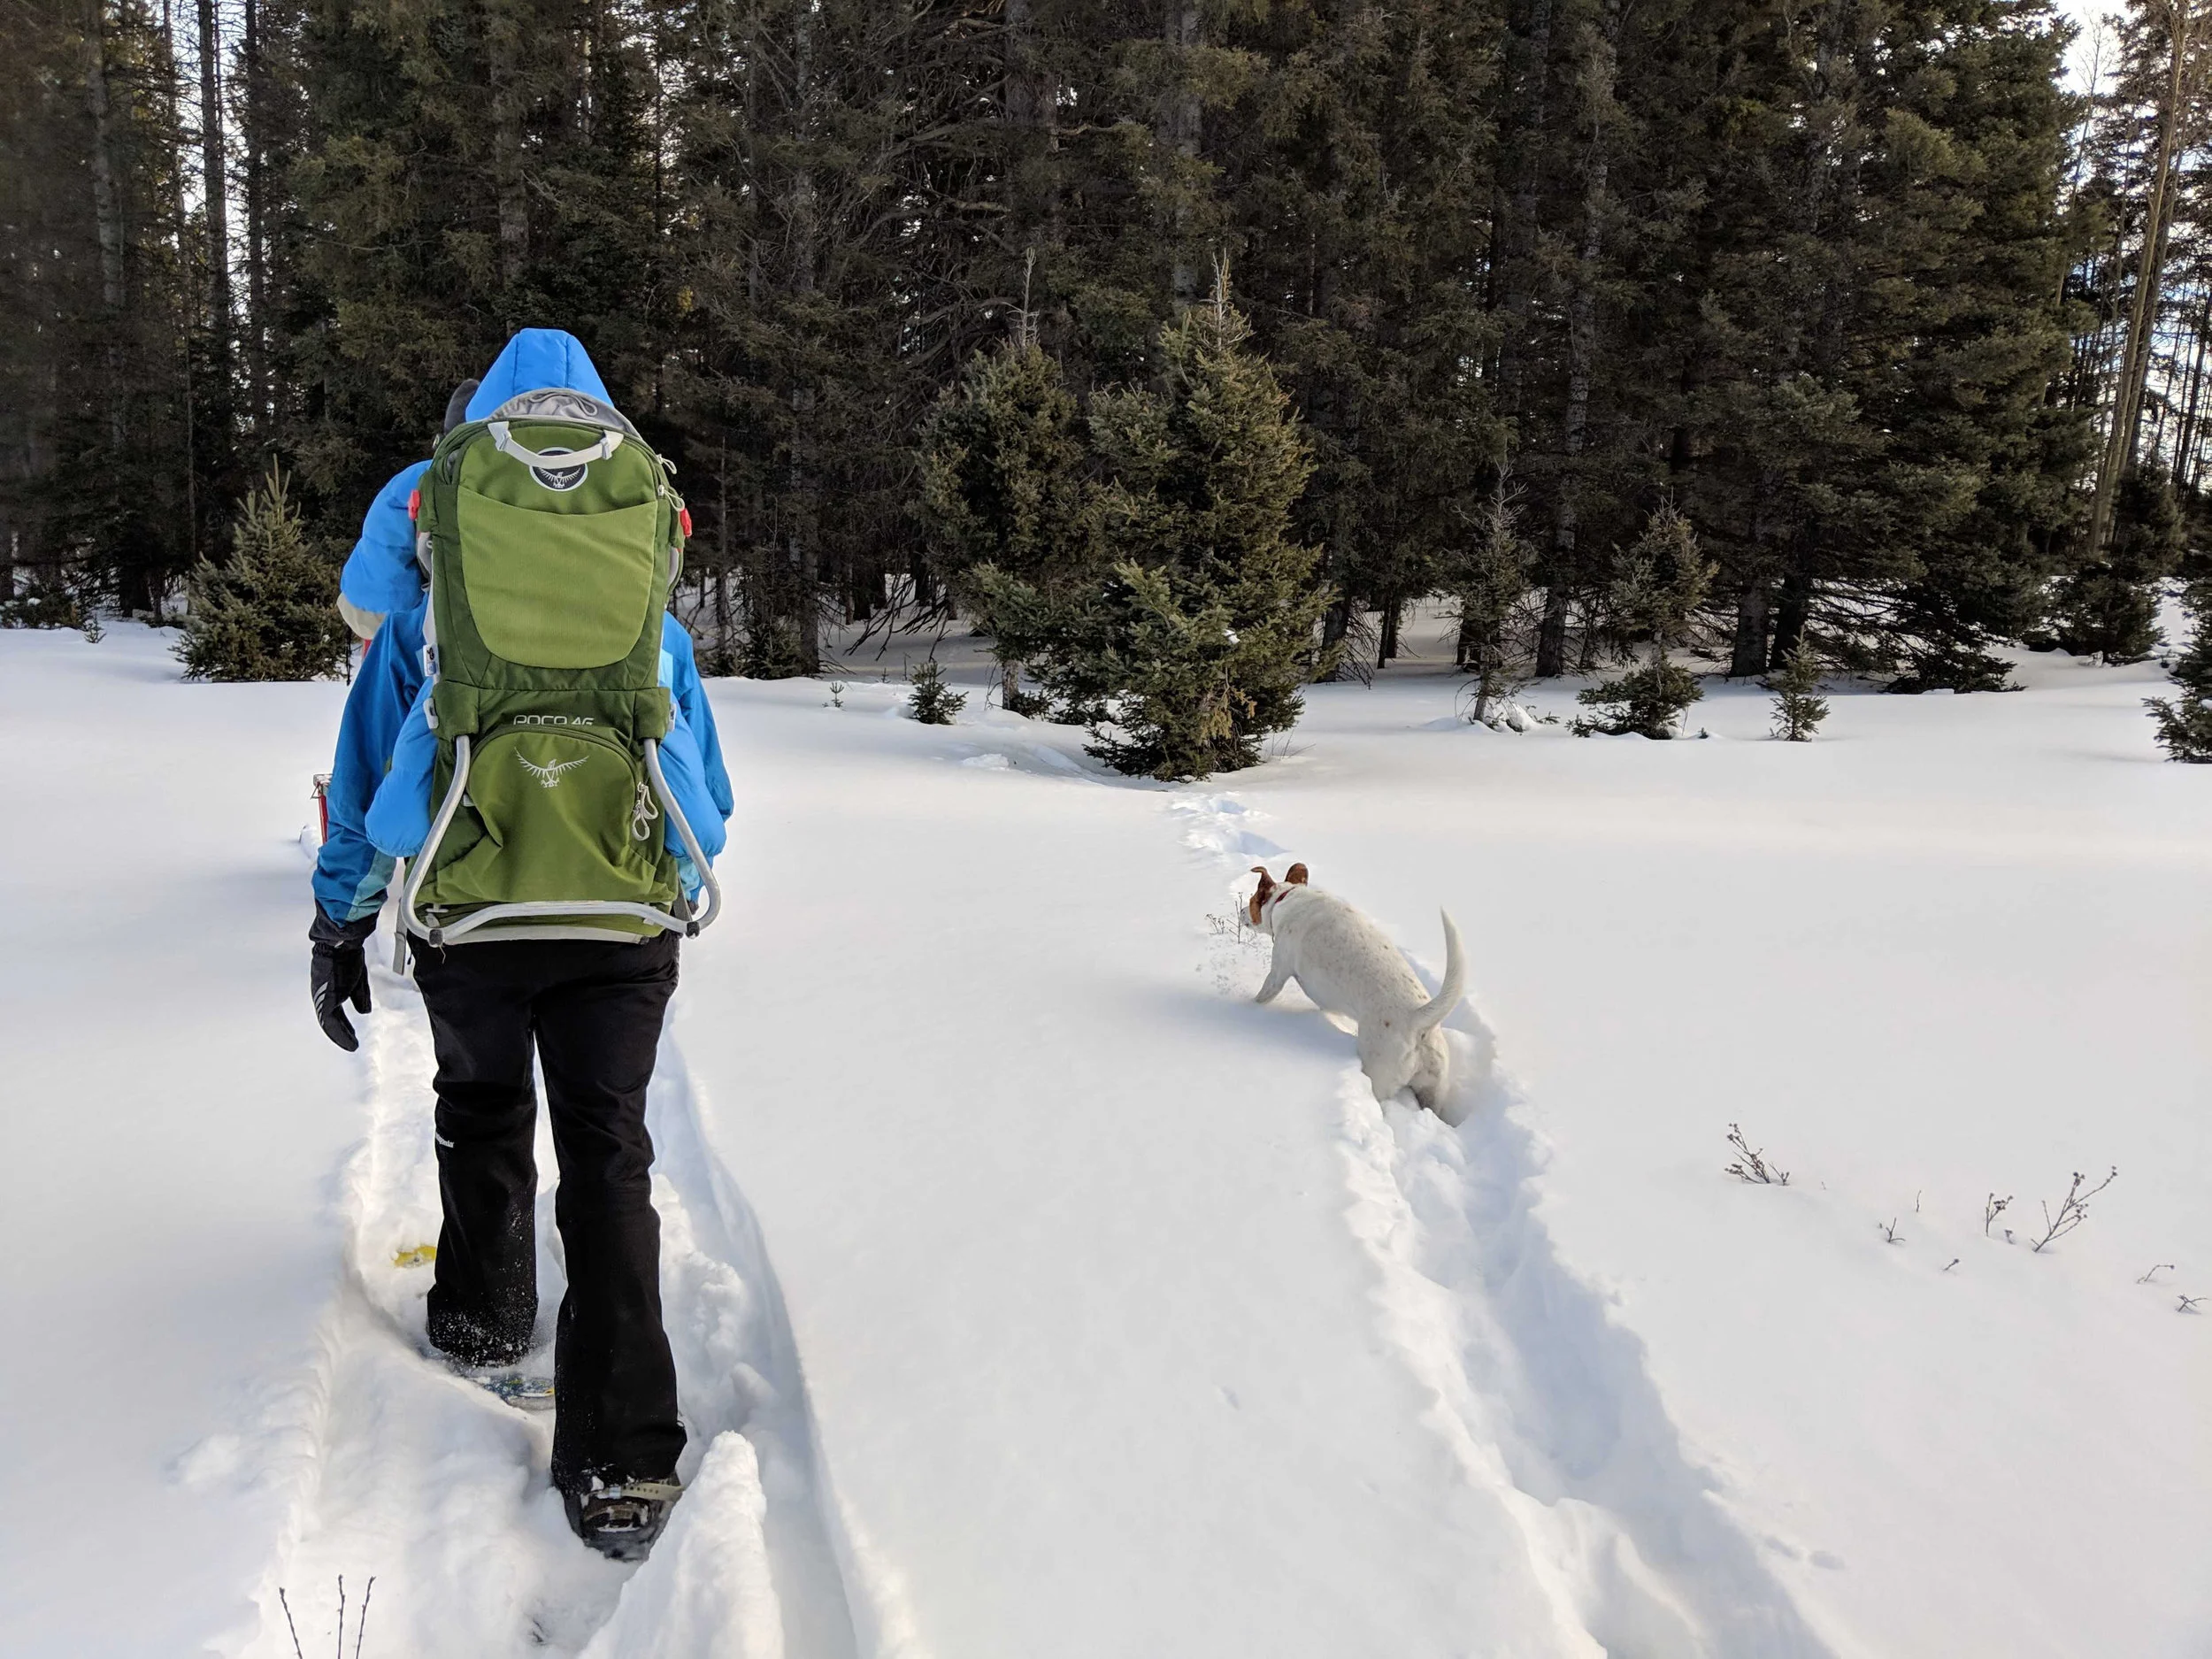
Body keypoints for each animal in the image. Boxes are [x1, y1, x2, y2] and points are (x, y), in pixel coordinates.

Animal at [1246, 864, 1465, 1114]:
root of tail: (1418, 1018)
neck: (1288, 898)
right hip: (1434, 1089)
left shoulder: (1278, 972)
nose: (1241, 911)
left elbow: (1264, 993)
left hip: (1379, 1071)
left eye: (1251, 900)